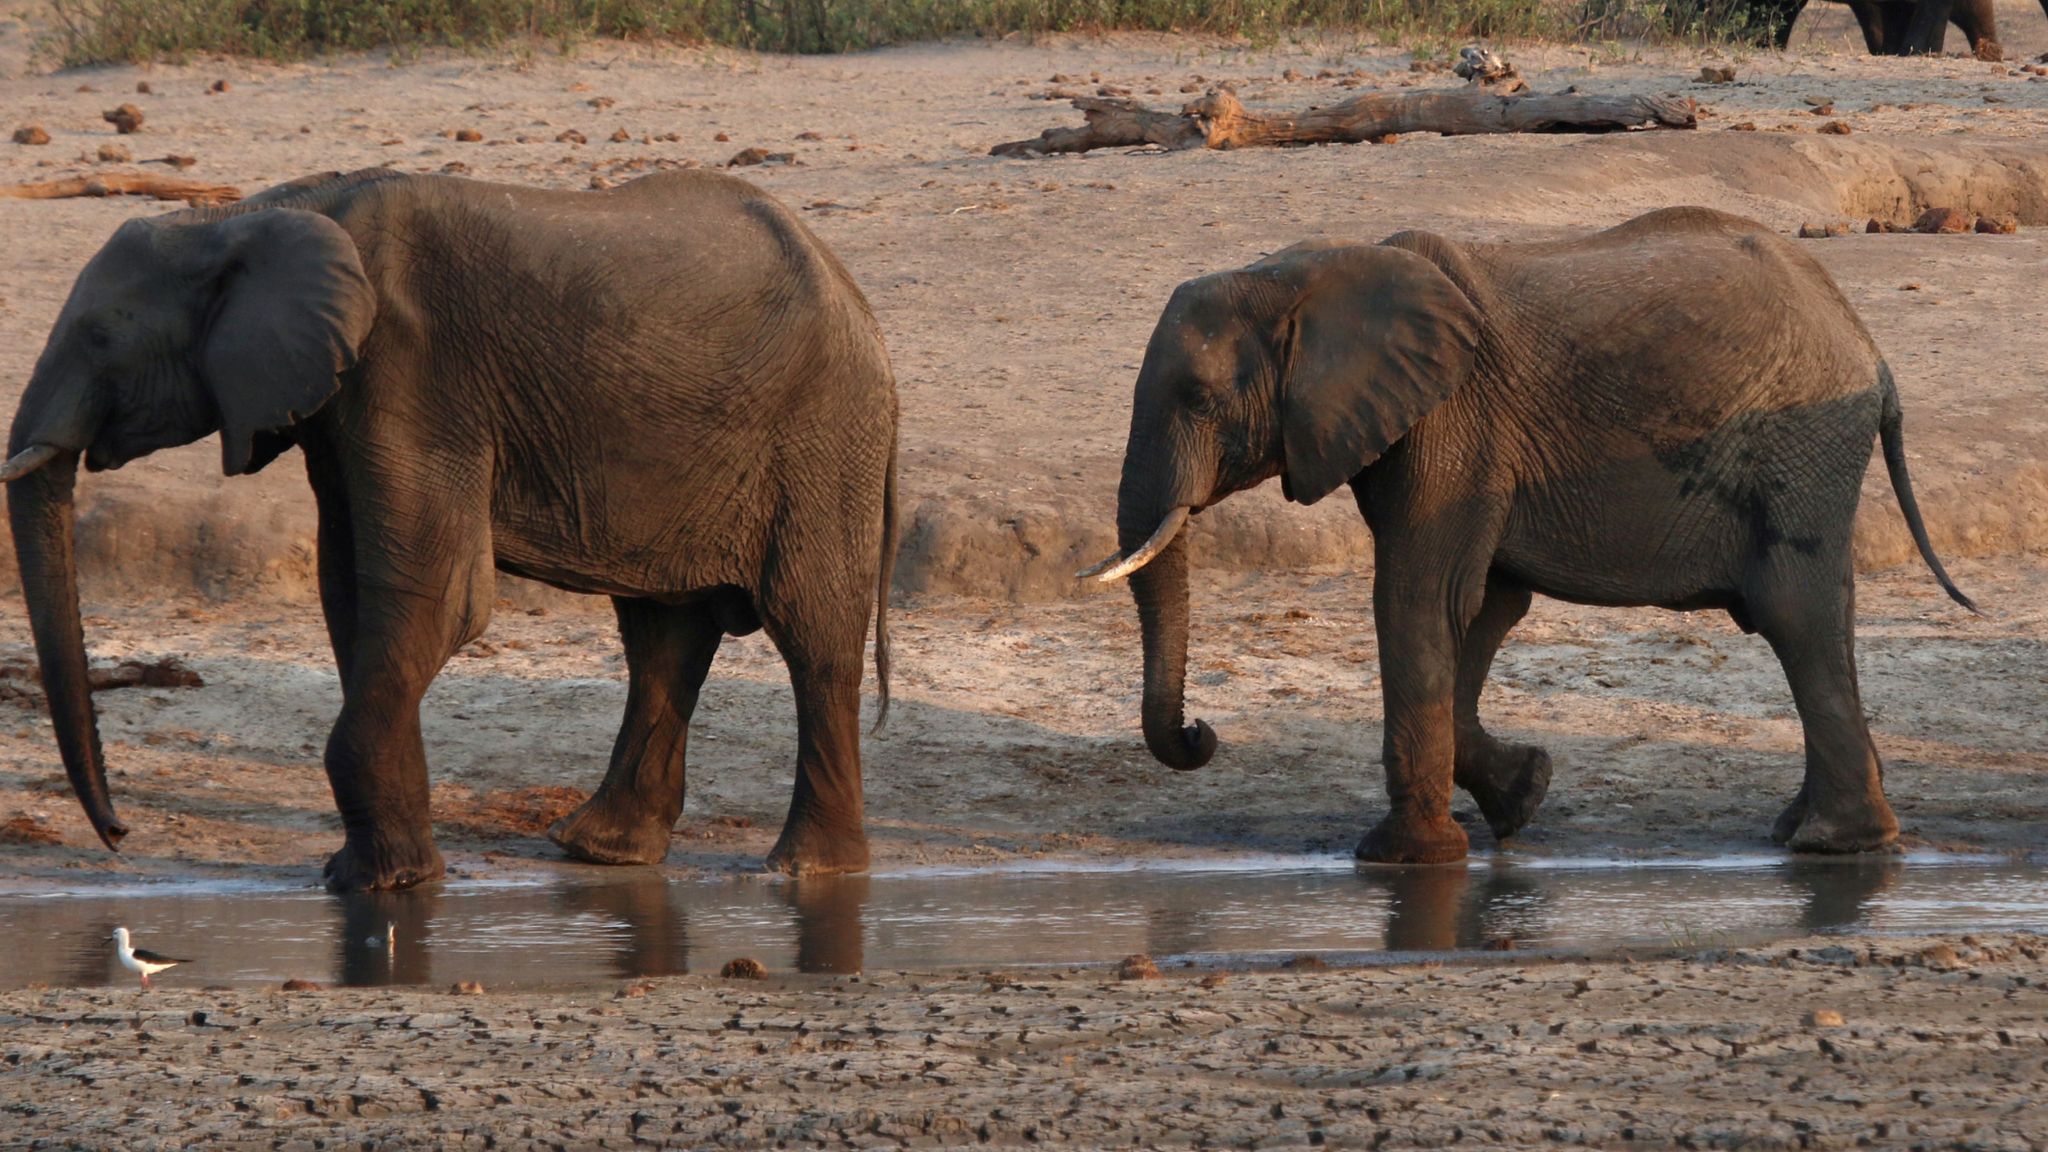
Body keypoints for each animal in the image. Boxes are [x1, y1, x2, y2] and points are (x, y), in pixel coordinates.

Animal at [4, 168, 897, 889]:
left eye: (100, 337)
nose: (118, 833)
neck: (256, 212)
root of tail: (858, 300)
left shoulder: (411, 372)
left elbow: (436, 597)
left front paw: (379, 887)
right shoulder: (343, 397)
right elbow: (350, 591)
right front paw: (377, 874)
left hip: (822, 437)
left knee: (810, 635)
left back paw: (807, 870)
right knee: (662, 635)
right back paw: (598, 851)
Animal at [1081, 203, 1974, 860]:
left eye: (1200, 397)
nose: (1201, 732)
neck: (1311, 269)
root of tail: (1869, 347)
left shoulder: (1451, 422)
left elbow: (1420, 599)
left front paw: (1404, 859)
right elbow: (1482, 610)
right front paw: (1524, 795)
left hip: (1800, 444)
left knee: (1796, 612)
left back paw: (1832, 844)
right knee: (1825, 614)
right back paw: (1811, 831)